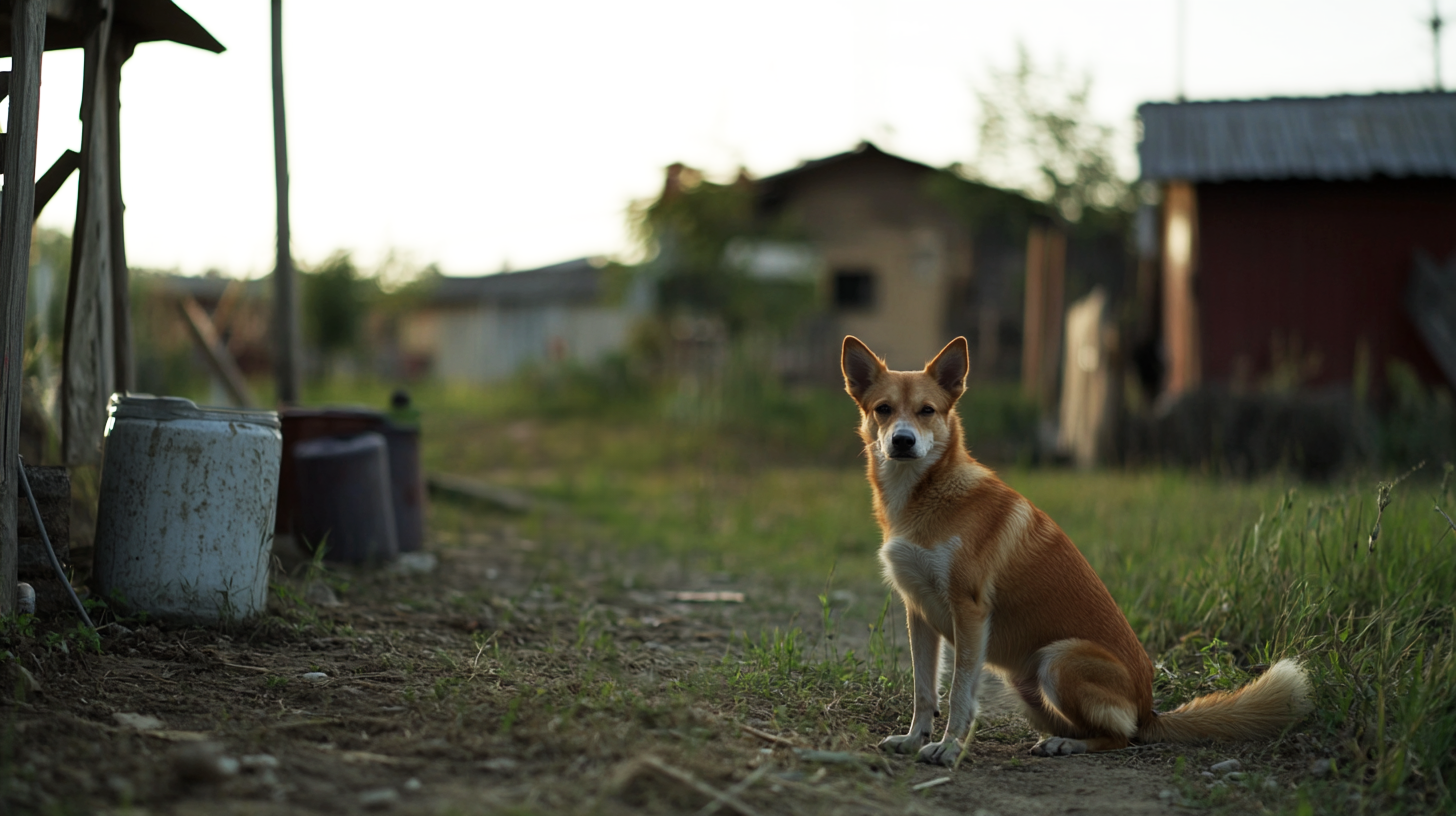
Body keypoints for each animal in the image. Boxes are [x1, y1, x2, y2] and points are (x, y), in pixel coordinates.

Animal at [838, 333, 1316, 763]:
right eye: (883, 410)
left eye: (927, 411)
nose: (902, 441)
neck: (926, 496)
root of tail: (1150, 710)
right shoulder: (918, 612)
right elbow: (923, 690)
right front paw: (913, 740)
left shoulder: (969, 612)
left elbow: (958, 694)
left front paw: (949, 748)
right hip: (1027, 684)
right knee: (1094, 728)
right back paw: (1057, 740)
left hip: (1060, 658)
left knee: (1121, 738)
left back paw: (1068, 746)